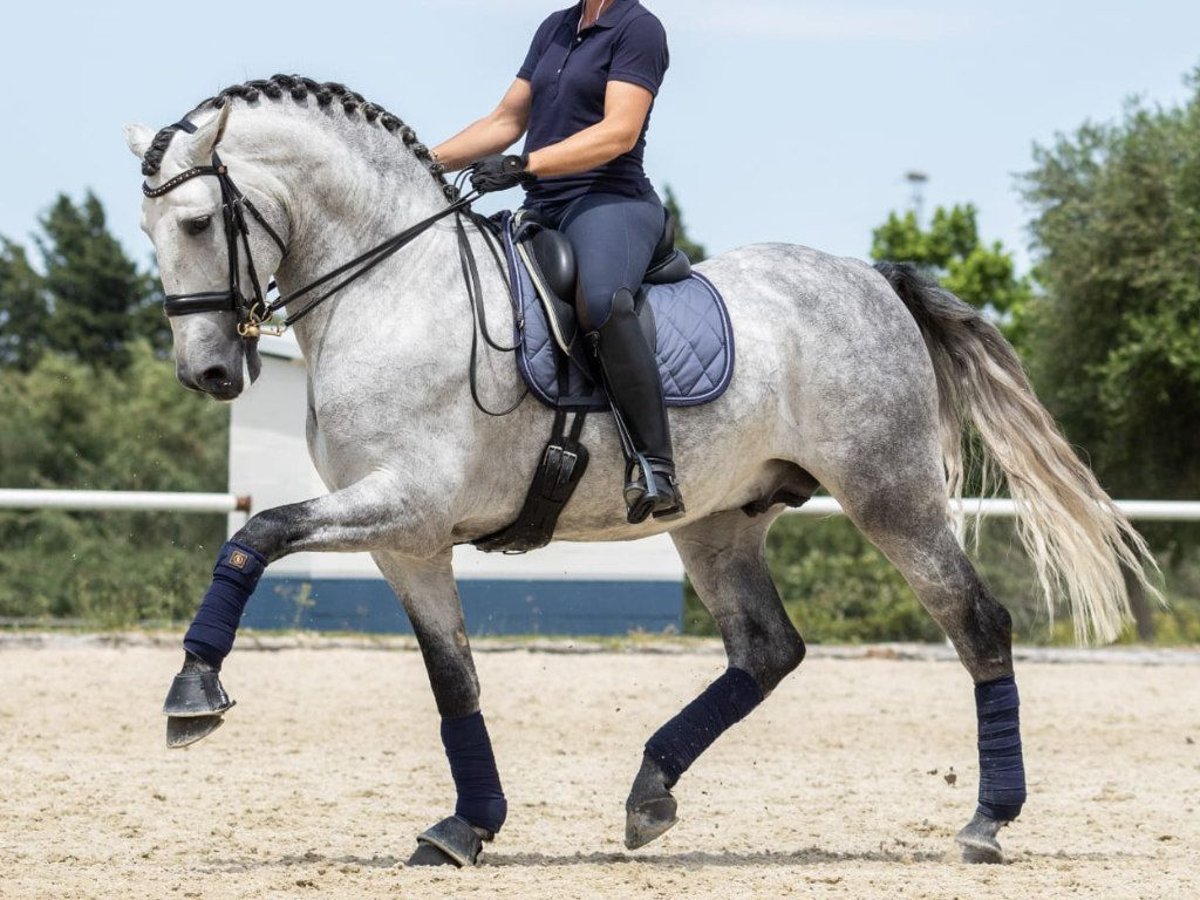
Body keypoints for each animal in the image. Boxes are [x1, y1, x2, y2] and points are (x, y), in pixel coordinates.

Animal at [126, 81, 1156, 868]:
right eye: (148, 231)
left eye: (197, 221)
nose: (208, 373)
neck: (393, 292)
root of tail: (872, 276)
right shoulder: (406, 540)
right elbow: (453, 679)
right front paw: (466, 827)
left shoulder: (402, 503)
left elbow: (254, 535)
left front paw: (192, 694)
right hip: (718, 519)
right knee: (767, 650)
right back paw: (651, 792)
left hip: (889, 493)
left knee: (976, 624)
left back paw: (987, 821)